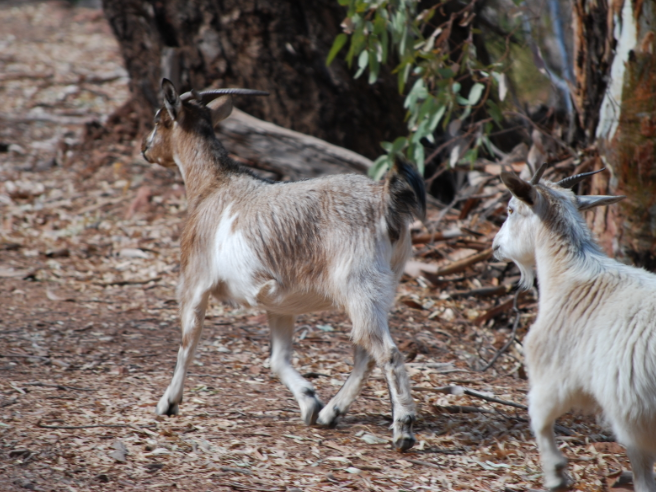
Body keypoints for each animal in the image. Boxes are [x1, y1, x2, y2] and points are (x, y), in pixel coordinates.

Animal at [141, 78, 426, 451]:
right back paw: (331, 413)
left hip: (358, 282)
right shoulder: (279, 303)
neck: (212, 187)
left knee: (385, 352)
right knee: (365, 353)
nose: (145, 150)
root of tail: (384, 200)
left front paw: (168, 403)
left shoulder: (194, 282)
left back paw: (402, 429)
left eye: (159, 119)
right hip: (382, 284)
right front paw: (309, 402)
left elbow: (187, 345)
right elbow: (278, 359)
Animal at [493, 165, 656, 492]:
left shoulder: (557, 373)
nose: (495, 246)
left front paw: (555, 473)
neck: (571, 276)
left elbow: (538, 416)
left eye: (511, 209)